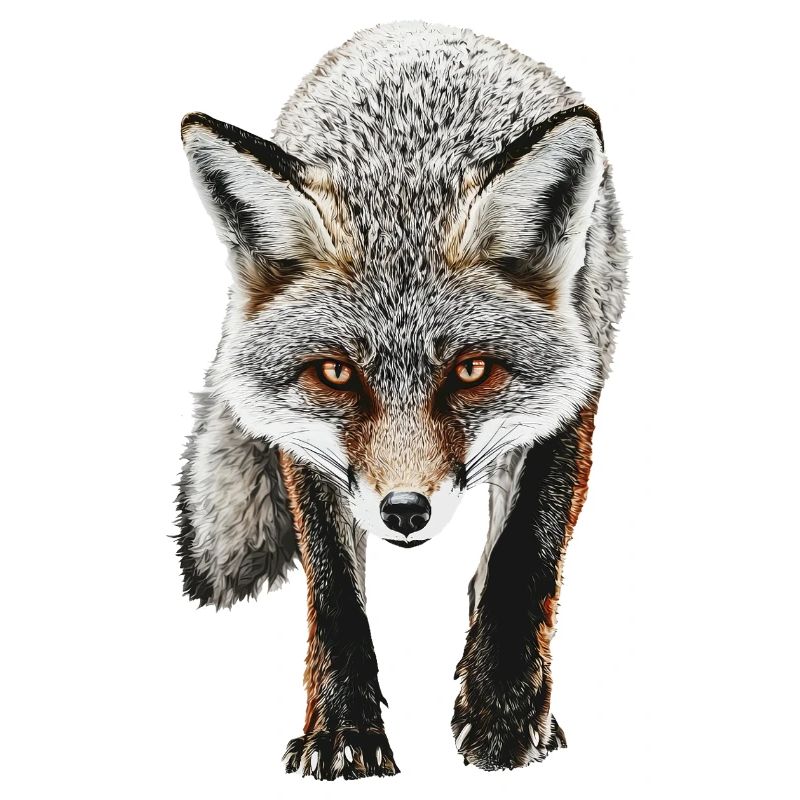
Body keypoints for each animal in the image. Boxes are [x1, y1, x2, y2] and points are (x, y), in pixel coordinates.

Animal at [175, 20, 628, 780]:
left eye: (471, 370)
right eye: (335, 373)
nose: (406, 510)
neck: (406, 166)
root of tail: (416, 28)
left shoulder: (571, 394)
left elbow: (523, 558)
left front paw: (504, 710)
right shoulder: (307, 443)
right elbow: (335, 595)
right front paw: (341, 728)